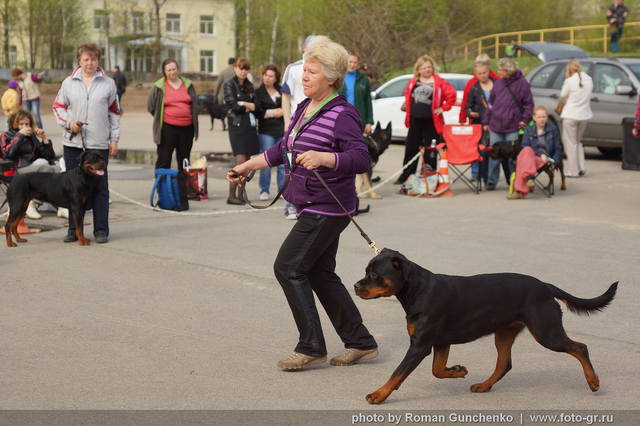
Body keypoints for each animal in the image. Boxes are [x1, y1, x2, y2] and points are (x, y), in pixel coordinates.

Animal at [358, 248, 616, 404]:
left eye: (375, 274)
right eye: (366, 272)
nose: (355, 286)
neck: (418, 290)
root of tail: (545, 286)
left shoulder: (420, 345)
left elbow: (398, 372)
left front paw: (378, 394)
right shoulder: (440, 342)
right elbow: (437, 370)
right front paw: (458, 370)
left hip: (546, 332)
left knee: (580, 348)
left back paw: (593, 382)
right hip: (504, 333)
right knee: (504, 364)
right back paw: (484, 385)